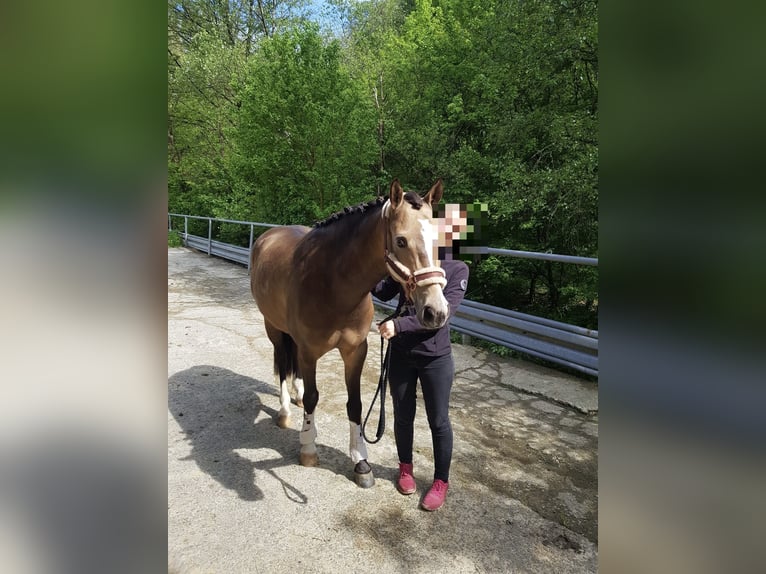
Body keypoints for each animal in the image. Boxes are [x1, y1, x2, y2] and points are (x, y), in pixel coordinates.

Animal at [249, 179, 450, 487]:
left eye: (439, 241)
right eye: (401, 240)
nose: (435, 312)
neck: (333, 283)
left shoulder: (355, 351)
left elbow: (355, 404)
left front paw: (361, 462)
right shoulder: (309, 351)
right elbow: (314, 397)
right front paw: (308, 448)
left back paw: (296, 395)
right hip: (274, 328)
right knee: (283, 364)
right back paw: (284, 410)